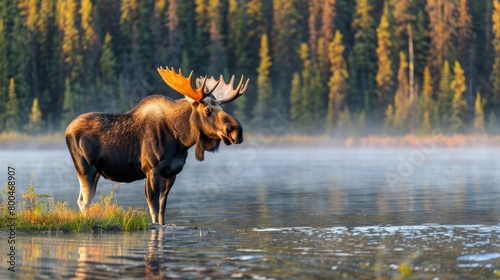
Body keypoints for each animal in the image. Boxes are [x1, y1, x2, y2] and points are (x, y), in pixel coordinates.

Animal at [64, 67, 248, 225]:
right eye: (207, 111)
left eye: (221, 107)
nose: (236, 130)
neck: (181, 140)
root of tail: (67, 131)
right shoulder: (152, 171)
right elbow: (153, 209)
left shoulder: (171, 173)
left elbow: (162, 210)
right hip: (85, 168)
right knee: (85, 201)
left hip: (96, 172)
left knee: (83, 200)